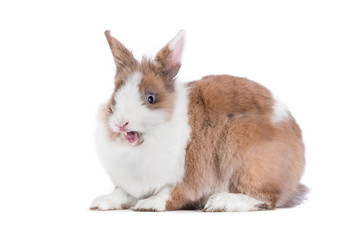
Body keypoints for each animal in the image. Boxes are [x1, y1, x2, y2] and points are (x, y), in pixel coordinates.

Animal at [90, 30, 310, 212]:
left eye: (150, 98)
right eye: (114, 99)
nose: (121, 123)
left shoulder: (189, 177)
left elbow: (170, 194)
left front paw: (148, 204)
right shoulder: (132, 184)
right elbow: (122, 193)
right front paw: (101, 202)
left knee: (267, 198)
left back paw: (221, 202)